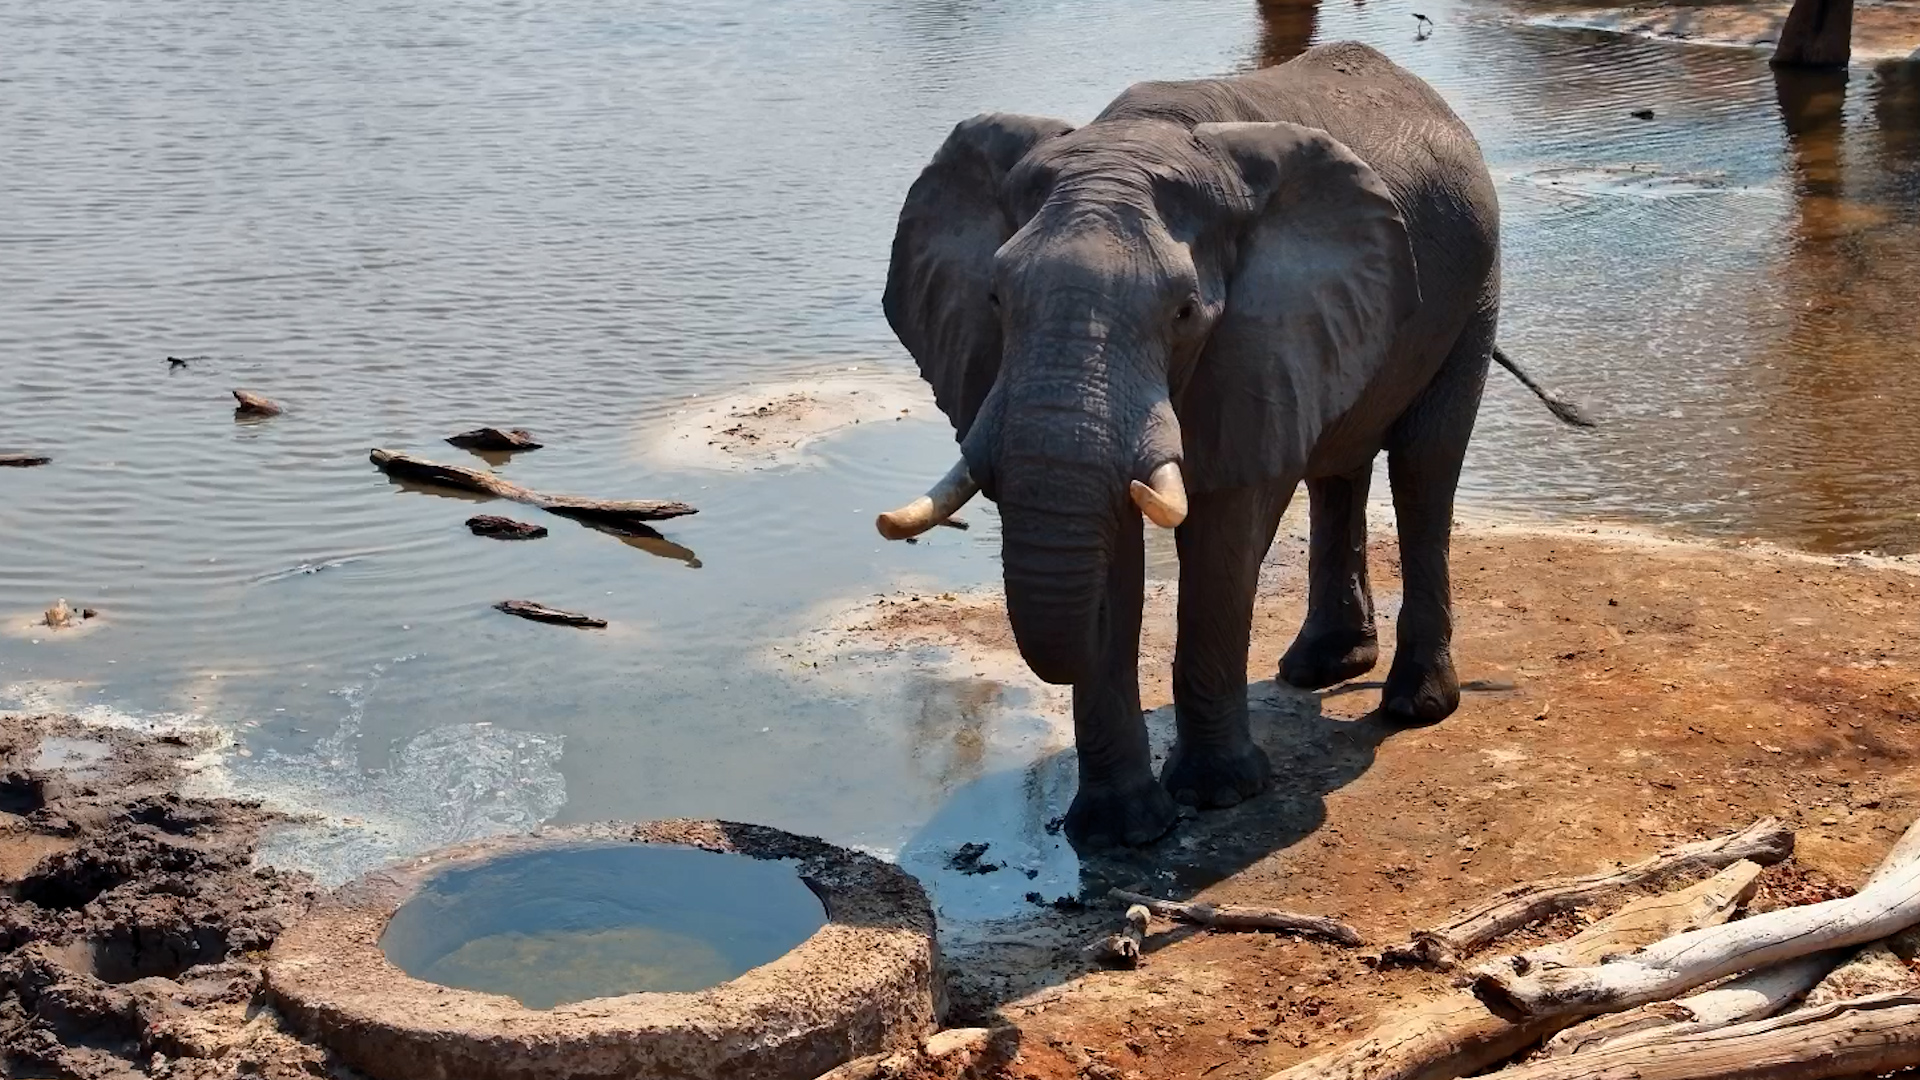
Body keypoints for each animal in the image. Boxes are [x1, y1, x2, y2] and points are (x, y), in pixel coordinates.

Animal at [876, 42, 1586, 848]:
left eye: (1185, 311)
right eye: (995, 298)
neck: (1138, 136)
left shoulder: (1252, 335)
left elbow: (1226, 527)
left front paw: (1220, 795)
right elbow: (1113, 539)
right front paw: (1121, 831)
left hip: (1475, 289)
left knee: (1424, 468)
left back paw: (1415, 707)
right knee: (1337, 467)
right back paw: (1320, 669)